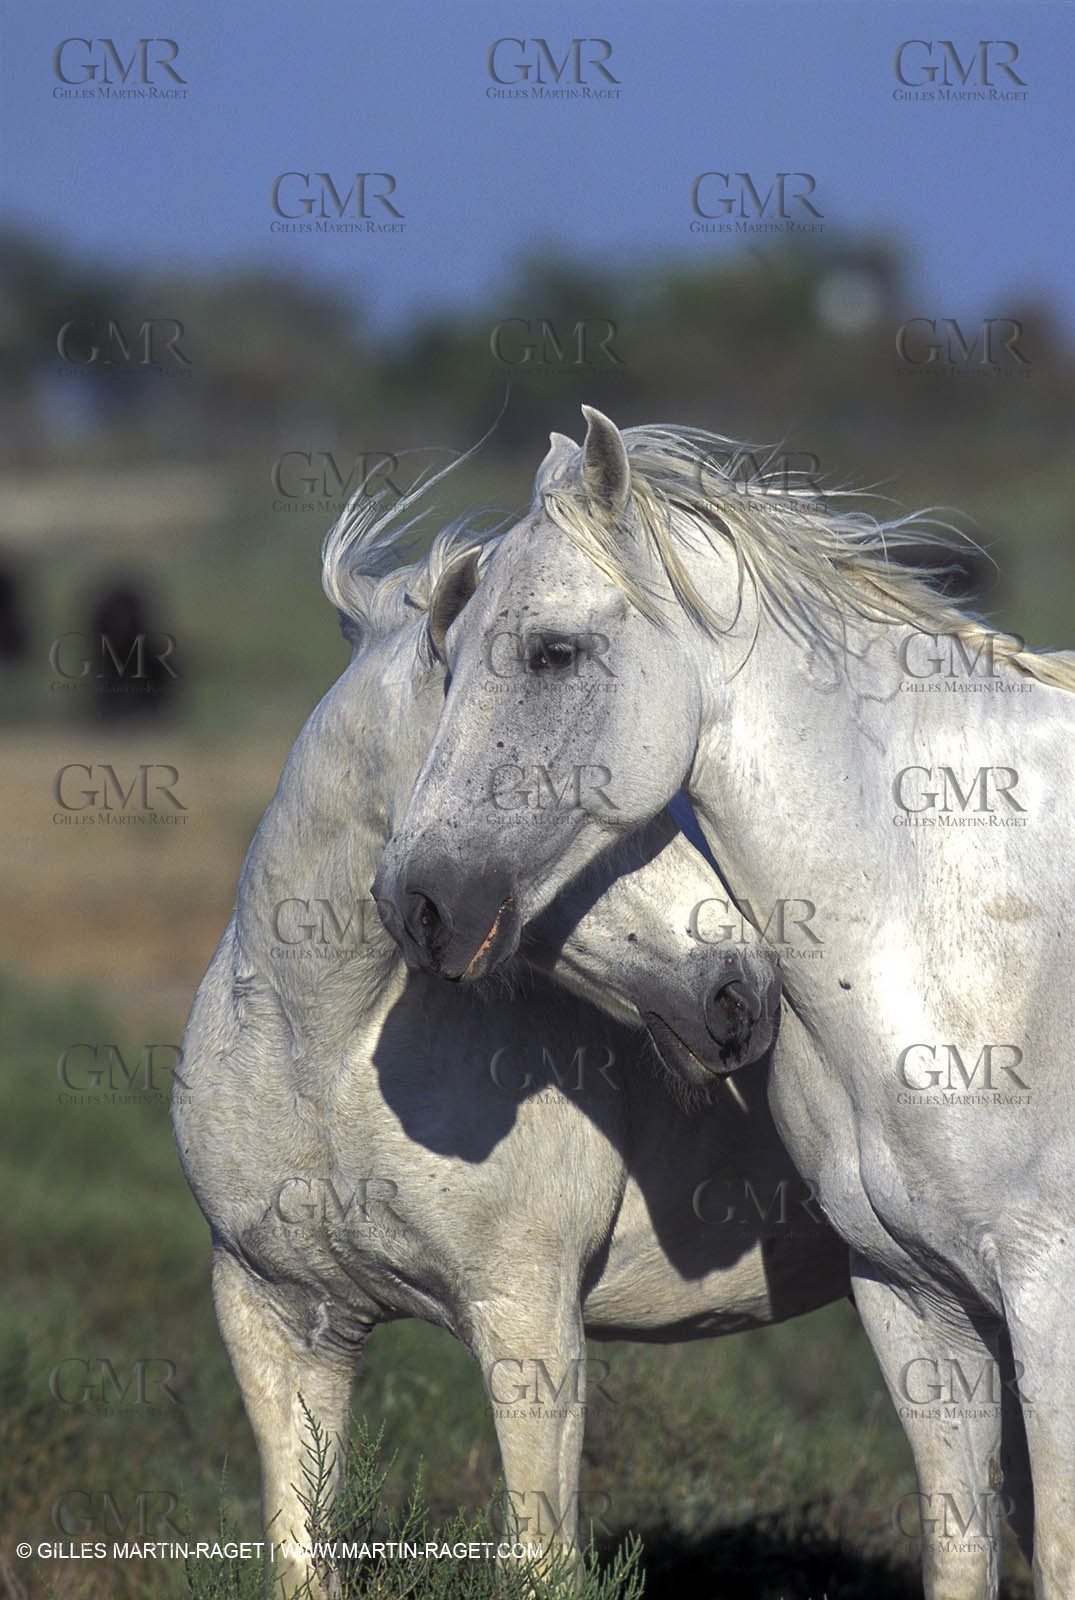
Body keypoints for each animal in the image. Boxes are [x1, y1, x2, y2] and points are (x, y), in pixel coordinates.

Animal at [174, 498, 850, 1599]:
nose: (740, 995)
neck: (322, 1060)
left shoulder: (528, 1322)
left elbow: (539, 1559)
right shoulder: (280, 1317)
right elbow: (302, 1544)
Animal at [374, 407, 1073, 1599]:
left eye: (552, 652)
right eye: (447, 659)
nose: (414, 902)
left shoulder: (1047, 1305)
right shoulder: (915, 1303)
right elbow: (961, 1546)